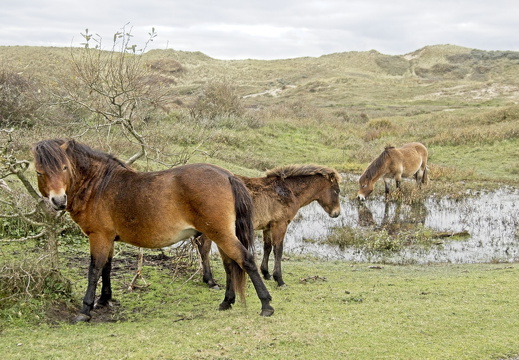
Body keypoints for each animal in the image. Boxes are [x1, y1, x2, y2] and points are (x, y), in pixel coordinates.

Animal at [32, 139, 274, 322]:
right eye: (40, 172)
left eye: (64, 168)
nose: (58, 200)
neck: (100, 186)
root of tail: (227, 175)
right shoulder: (108, 239)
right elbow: (106, 267)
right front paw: (104, 300)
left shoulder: (99, 237)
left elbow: (94, 270)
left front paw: (85, 310)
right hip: (221, 234)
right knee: (230, 265)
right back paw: (227, 301)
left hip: (220, 234)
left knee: (245, 260)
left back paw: (266, 305)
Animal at [198, 165, 342, 286]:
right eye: (337, 191)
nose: (337, 213)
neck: (287, 191)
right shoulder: (280, 224)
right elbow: (278, 249)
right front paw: (279, 279)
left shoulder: (267, 226)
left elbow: (267, 247)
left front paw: (266, 273)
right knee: (204, 249)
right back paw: (210, 281)